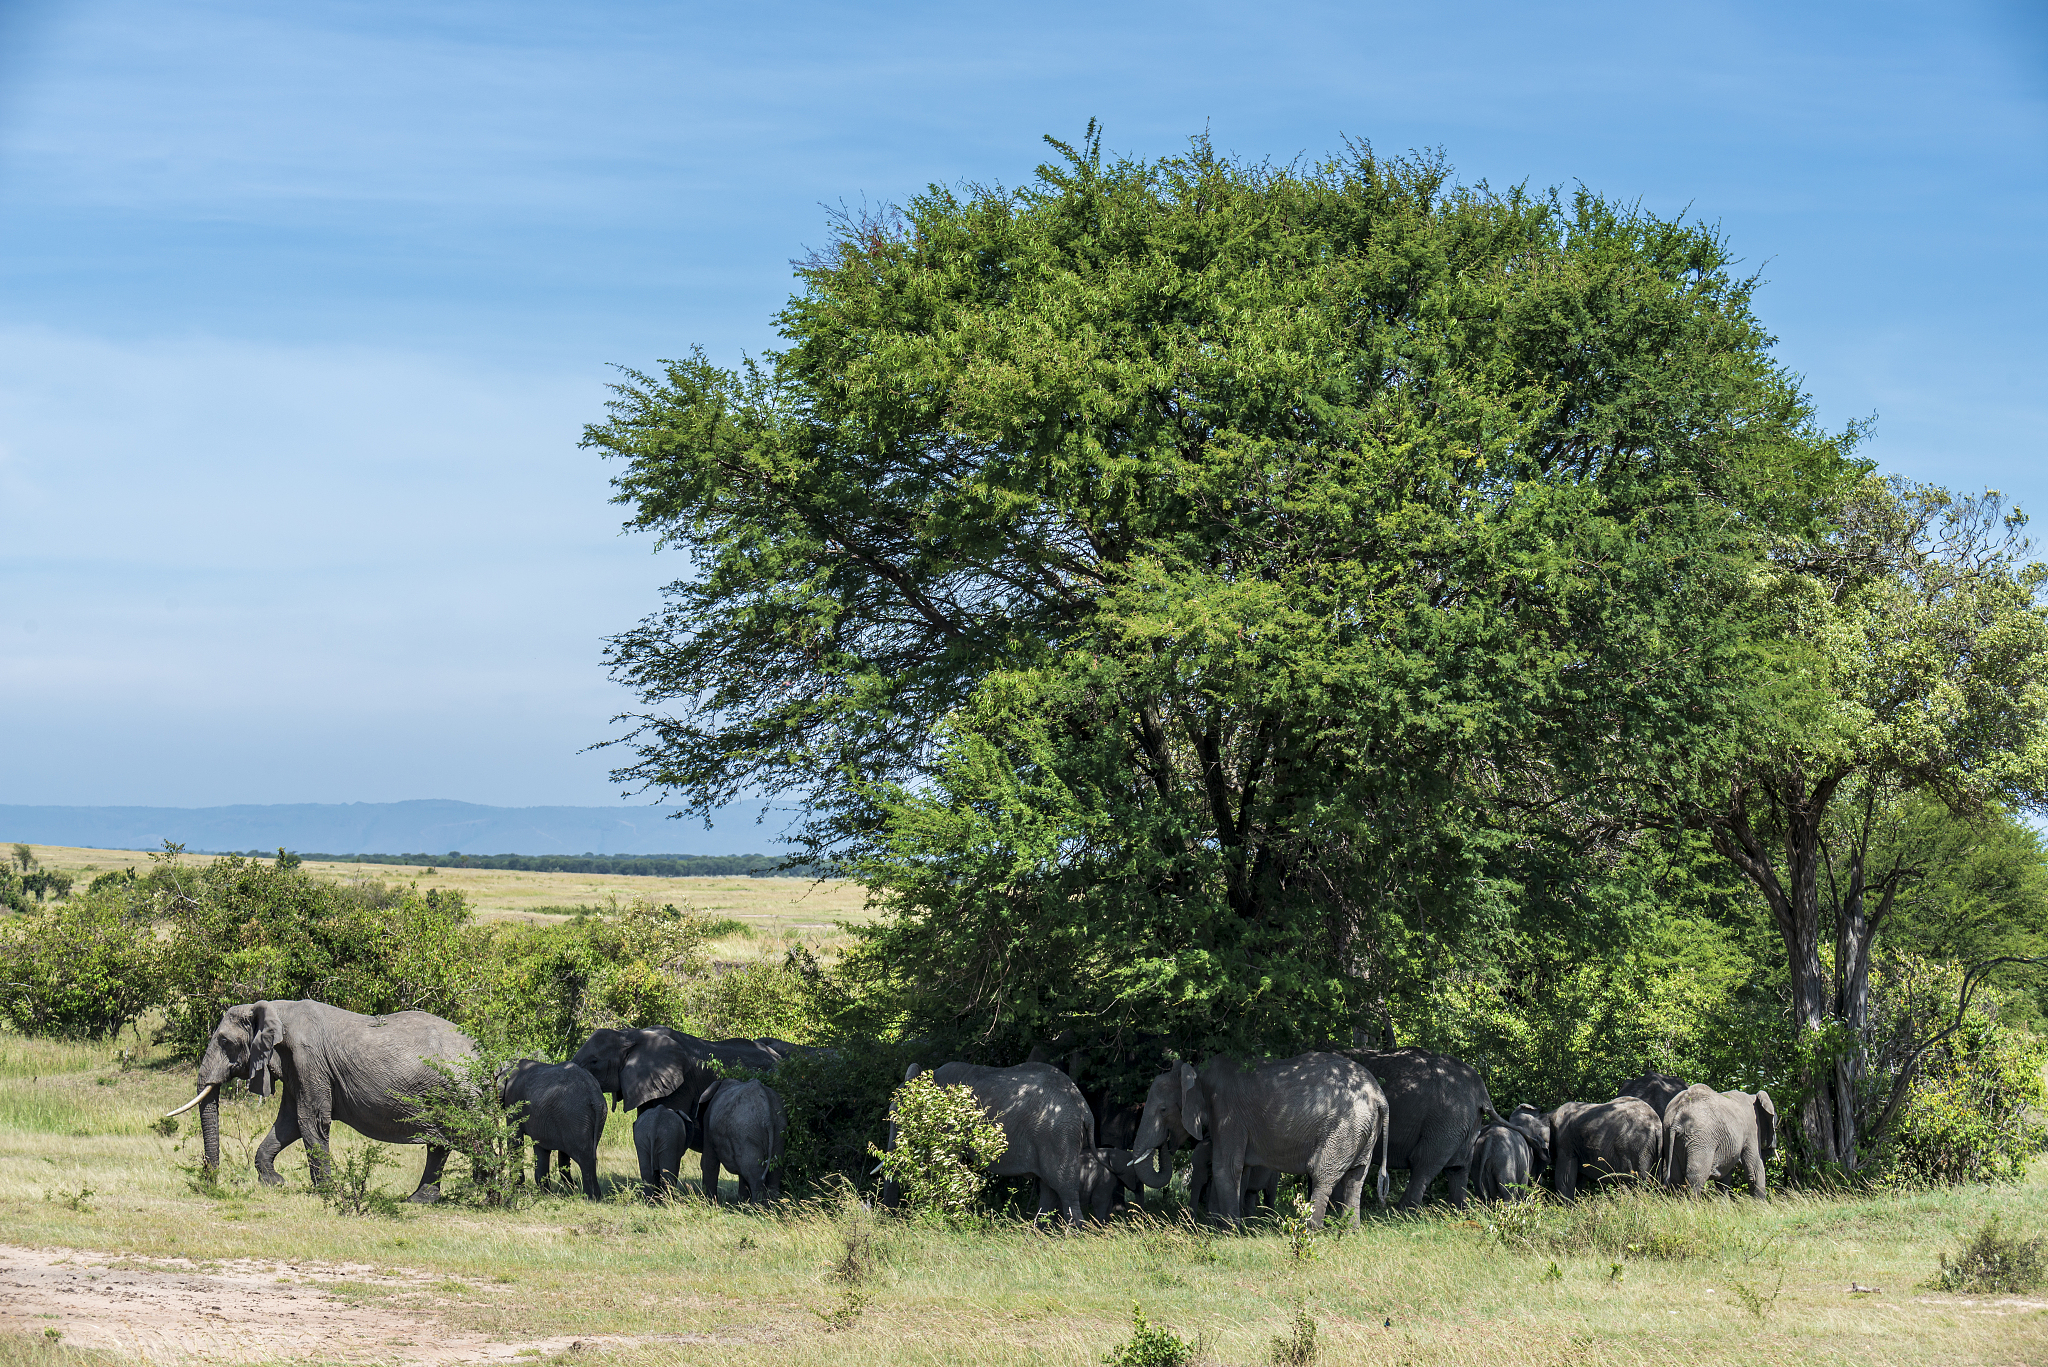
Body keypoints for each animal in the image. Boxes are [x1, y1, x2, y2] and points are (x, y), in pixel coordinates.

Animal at [165, 999, 475, 1201]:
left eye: (225, 1042)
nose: (212, 1183)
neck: (275, 1010)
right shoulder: (295, 1067)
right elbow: (288, 1123)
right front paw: (275, 1183)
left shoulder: (308, 1060)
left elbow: (310, 1120)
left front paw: (325, 1193)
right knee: (439, 1145)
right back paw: (419, 1200)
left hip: (460, 1091)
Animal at [497, 1059, 606, 1199]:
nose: (575, 1185)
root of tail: (594, 1096)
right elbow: (541, 1149)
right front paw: (545, 1195)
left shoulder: (514, 1102)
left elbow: (515, 1142)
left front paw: (516, 1192)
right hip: (595, 1116)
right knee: (590, 1153)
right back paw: (596, 1196)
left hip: (576, 1116)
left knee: (583, 1156)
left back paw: (589, 1197)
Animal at [878, 1062, 1097, 1226]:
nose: (891, 1218)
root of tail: (1085, 1109)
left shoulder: (949, 1121)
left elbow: (945, 1164)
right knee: (1049, 1189)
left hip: (1058, 1135)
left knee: (1064, 1187)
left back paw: (1072, 1235)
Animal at [1130, 1052, 1389, 1230]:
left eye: (1163, 1110)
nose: (1166, 1144)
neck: (1197, 1074)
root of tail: (1379, 1096)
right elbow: (1240, 1169)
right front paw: (1225, 1225)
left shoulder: (1227, 1113)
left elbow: (1225, 1167)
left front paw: (1228, 1232)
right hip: (1362, 1130)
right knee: (1356, 1178)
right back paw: (1349, 1233)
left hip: (1344, 1127)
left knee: (1322, 1174)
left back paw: (1310, 1231)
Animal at [1341, 1047, 1496, 1208]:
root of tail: (1483, 1094)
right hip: (1463, 1124)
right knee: (1458, 1168)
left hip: (1446, 1122)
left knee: (1423, 1162)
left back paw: (1400, 1212)